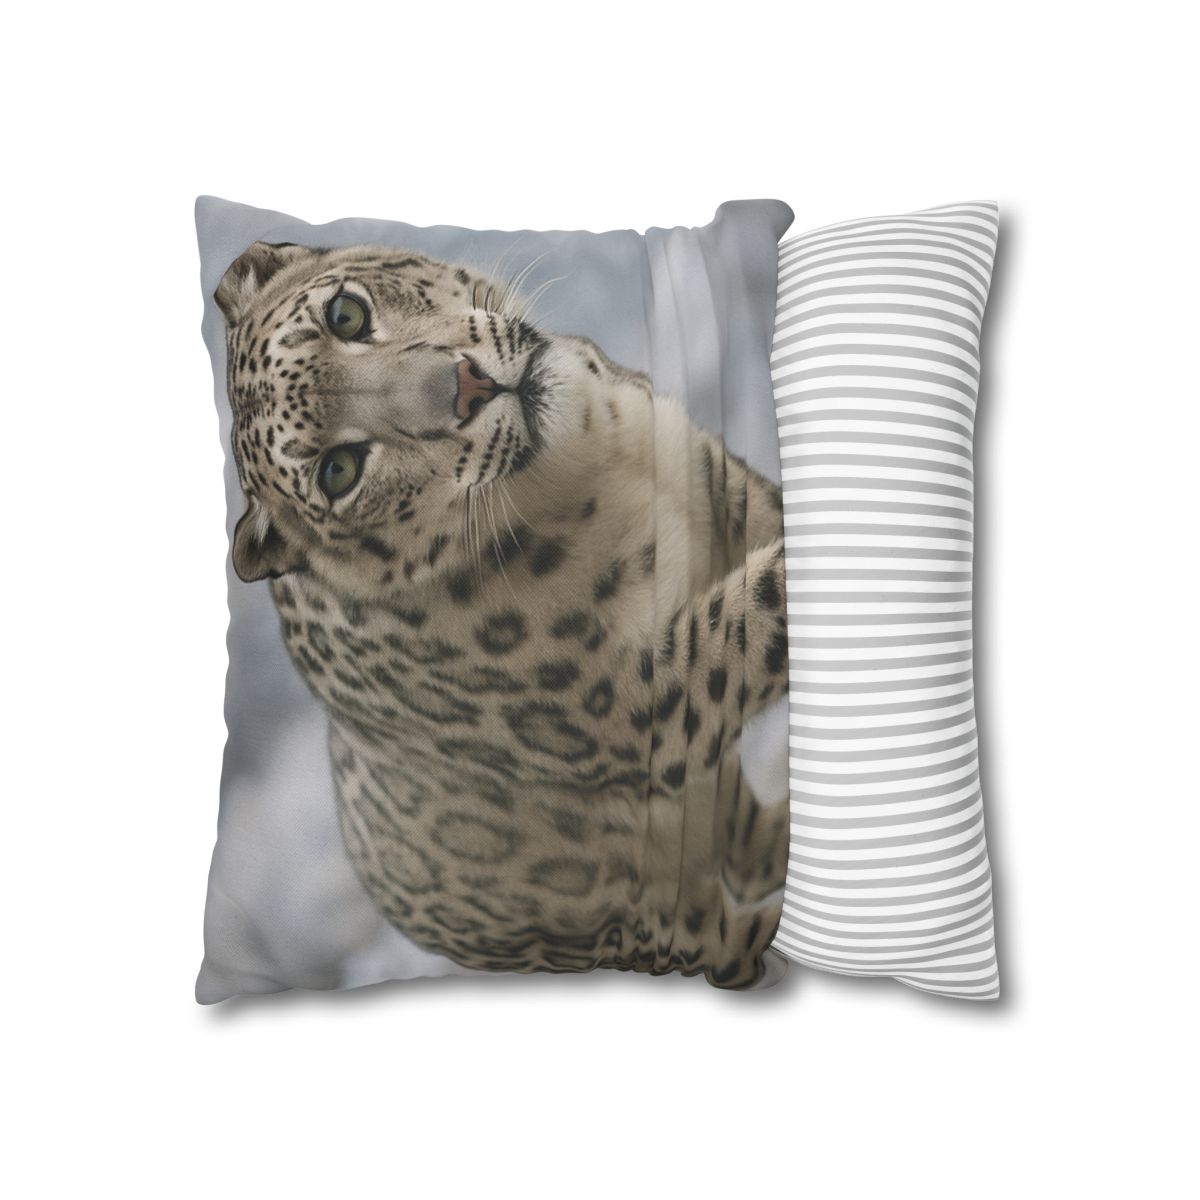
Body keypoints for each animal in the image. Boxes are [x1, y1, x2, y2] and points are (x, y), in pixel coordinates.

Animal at [215, 241, 791, 988]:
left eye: (345, 313)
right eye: (338, 472)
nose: (467, 387)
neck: (597, 459)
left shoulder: (727, 492)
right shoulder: (645, 700)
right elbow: (761, 611)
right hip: (658, 923)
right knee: (734, 935)